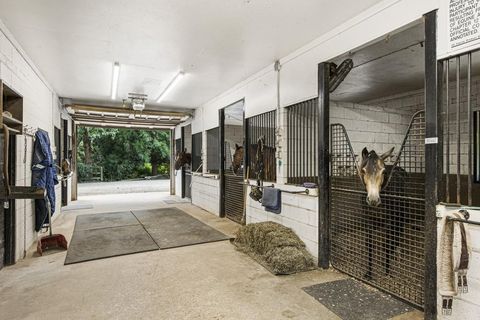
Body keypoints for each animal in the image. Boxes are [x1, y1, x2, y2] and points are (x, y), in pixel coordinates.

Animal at [360, 146, 404, 278]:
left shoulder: (389, 223)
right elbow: (369, 245)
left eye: (383, 172)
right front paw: (369, 273)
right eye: (363, 171)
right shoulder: (368, 222)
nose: (373, 200)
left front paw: (387, 271)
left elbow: (387, 244)